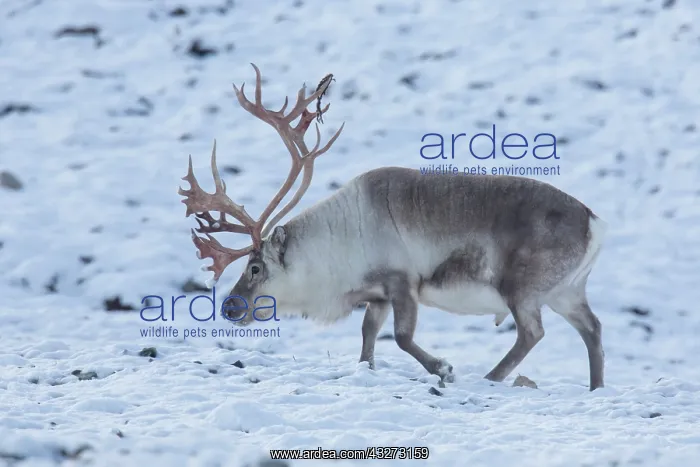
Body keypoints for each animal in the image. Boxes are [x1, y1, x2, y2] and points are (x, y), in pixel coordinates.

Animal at [178, 63, 608, 391]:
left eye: (254, 267)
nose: (229, 307)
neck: (335, 248)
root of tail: (594, 222)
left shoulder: (402, 282)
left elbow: (402, 337)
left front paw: (443, 369)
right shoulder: (378, 295)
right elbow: (368, 336)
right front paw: (367, 368)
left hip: (522, 290)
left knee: (532, 332)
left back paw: (491, 377)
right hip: (567, 291)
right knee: (592, 329)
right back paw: (595, 388)